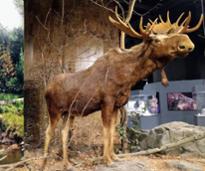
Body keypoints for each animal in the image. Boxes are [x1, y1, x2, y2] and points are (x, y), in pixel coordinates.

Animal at [42, 9, 203, 170]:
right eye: (156, 40)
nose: (186, 44)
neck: (128, 78)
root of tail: (46, 89)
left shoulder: (117, 105)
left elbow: (113, 130)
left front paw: (114, 157)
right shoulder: (107, 101)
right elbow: (106, 130)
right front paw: (107, 160)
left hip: (69, 113)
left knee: (63, 132)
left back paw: (67, 163)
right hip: (53, 110)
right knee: (48, 131)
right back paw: (44, 164)